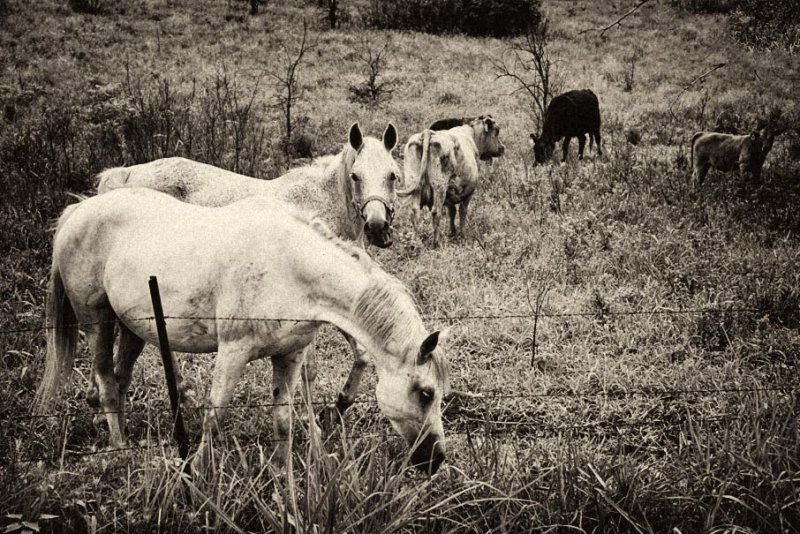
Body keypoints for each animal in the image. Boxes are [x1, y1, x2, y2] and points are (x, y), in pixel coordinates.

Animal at [32, 188, 450, 474]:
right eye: (425, 392)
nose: (436, 459)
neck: (290, 267)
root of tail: (79, 209)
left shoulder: (289, 355)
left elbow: (283, 418)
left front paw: (282, 474)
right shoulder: (232, 353)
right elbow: (214, 416)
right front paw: (199, 475)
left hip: (132, 329)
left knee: (119, 378)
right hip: (97, 322)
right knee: (105, 379)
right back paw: (118, 446)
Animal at [97, 124, 404, 418]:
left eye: (393, 175)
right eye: (355, 176)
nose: (377, 228)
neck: (319, 206)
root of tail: (128, 175)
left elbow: (362, 354)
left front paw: (339, 405)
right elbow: (310, 371)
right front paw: (312, 417)